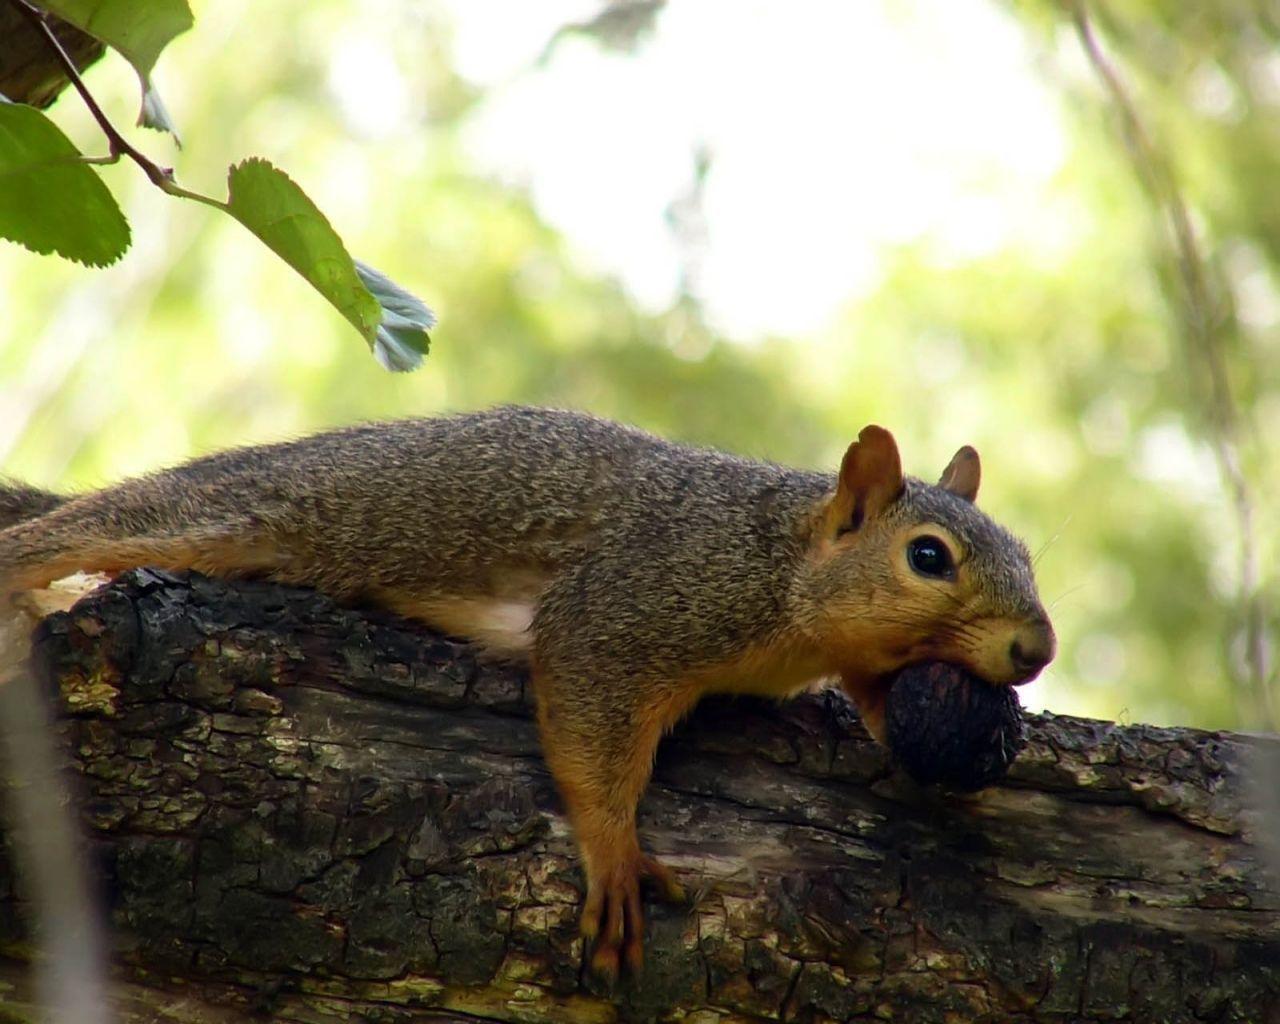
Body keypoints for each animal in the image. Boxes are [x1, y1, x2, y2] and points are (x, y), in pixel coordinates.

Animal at [0, 405, 1054, 979]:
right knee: (77, 533)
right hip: (241, 510)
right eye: (928, 557)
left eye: (1027, 552)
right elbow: (587, 722)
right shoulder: (634, 604)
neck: (782, 562)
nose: (1037, 647)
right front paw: (616, 855)